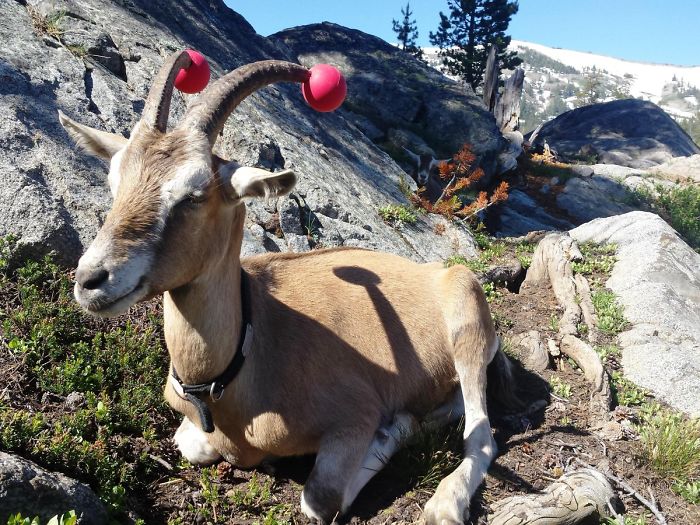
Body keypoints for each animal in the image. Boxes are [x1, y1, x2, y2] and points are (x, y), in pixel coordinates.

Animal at [60, 51, 515, 524]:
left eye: (194, 194)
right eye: (114, 182)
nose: (90, 280)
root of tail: (438, 271)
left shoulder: (353, 416)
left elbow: (320, 499)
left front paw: (391, 430)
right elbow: (188, 444)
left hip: (467, 331)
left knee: (480, 435)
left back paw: (443, 501)